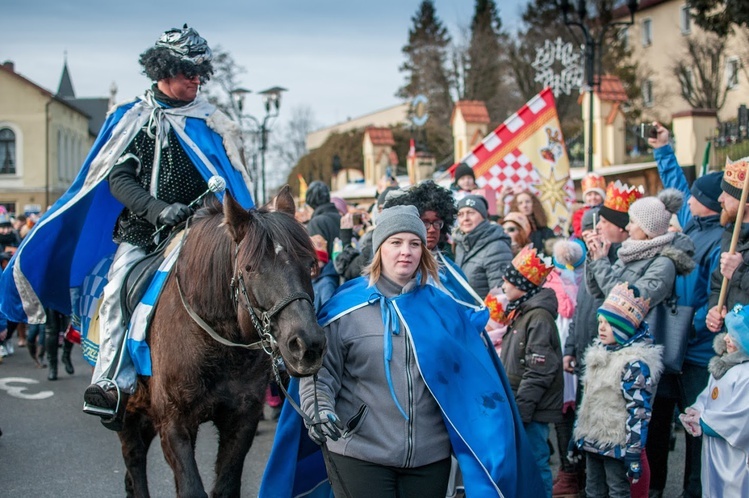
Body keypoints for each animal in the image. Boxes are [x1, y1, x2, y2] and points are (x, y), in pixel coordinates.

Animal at [120, 188, 324, 498]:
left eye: (310, 264)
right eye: (250, 268)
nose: (307, 346)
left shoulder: (241, 419)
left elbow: (226, 487)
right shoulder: (174, 422)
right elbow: (191, 489)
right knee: (134, 458)